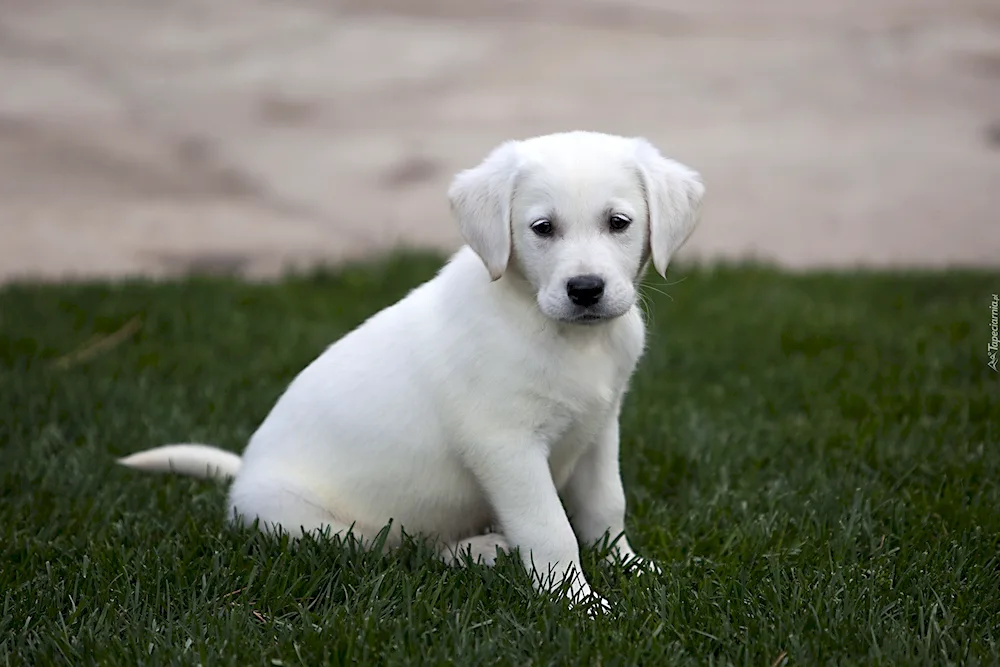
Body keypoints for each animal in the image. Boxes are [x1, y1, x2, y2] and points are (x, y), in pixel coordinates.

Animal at [119, 129, 704, 612]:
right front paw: (580, 604)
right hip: (320, 525)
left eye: (618, 223)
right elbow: (549, 529)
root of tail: (242, 473)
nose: (585, 290)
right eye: (542, 228)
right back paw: (484, 550)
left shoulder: (600, 428)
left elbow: (606, 508)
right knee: (403, 550)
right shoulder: (505, 446)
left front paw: (632, 568)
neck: (563, 334)